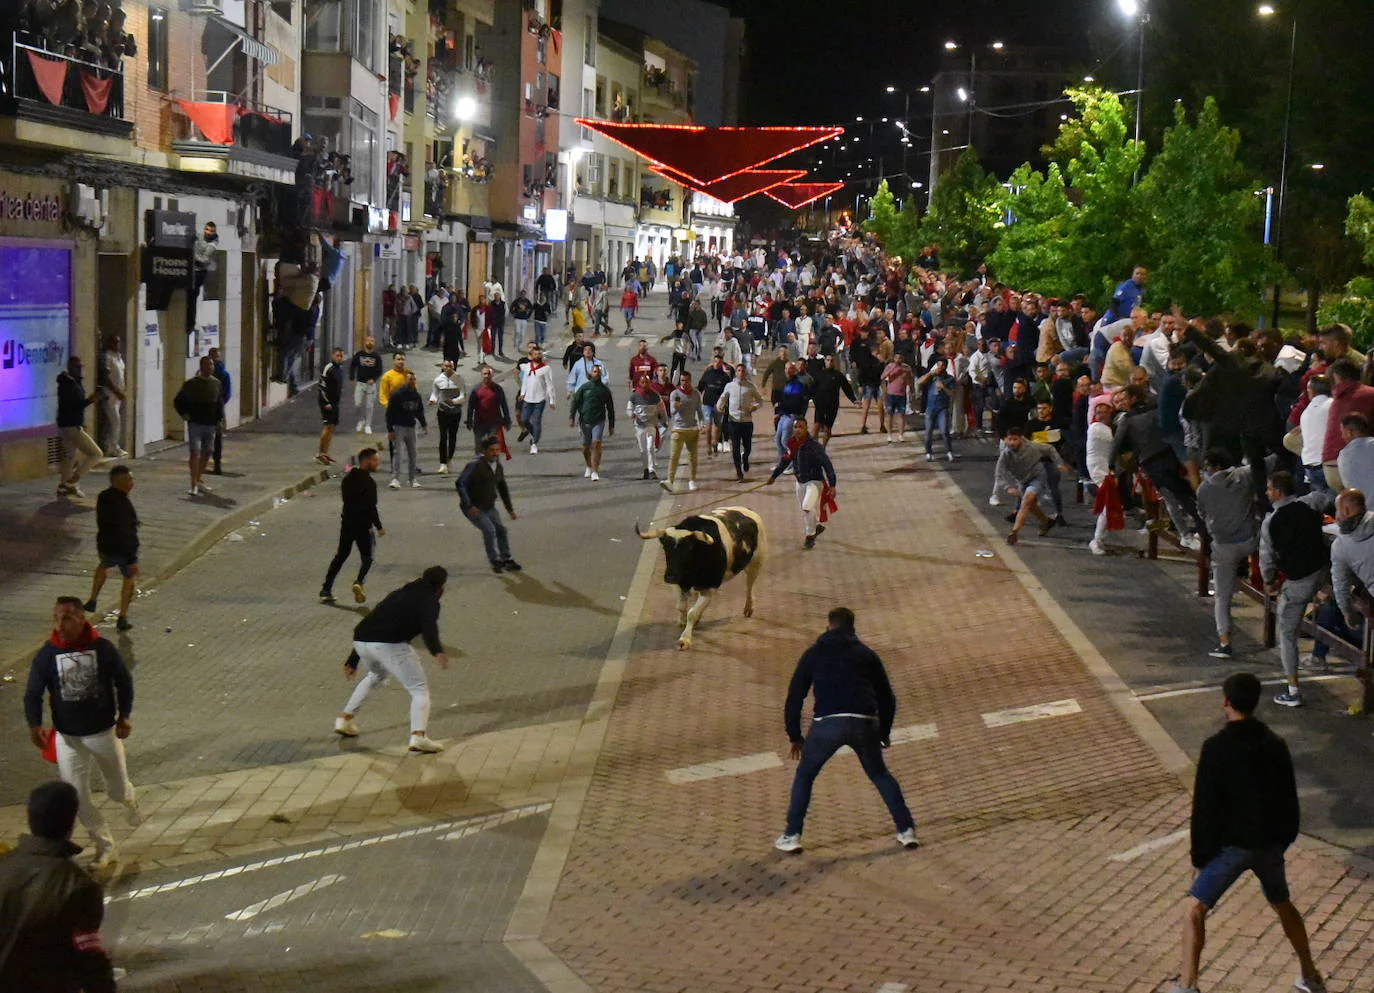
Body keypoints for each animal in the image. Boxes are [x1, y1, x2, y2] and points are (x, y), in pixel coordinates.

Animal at [632, 505, 763, 653]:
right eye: (665, 546)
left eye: (689, 548)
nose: (669, 576)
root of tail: (747, 510)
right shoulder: (678, 584)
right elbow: (681, 606)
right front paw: (683, 621)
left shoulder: (709, 587)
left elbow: (692, 613)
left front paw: (684, 639)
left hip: (756, 563)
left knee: (749, 586)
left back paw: (749, 608)